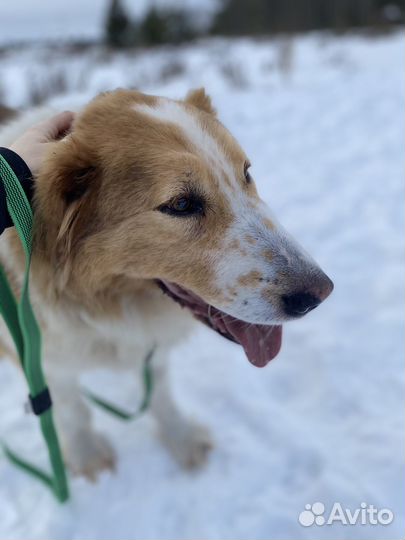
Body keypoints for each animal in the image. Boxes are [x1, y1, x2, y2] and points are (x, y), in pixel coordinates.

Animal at [0, 86, 332, 478]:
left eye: (246, 173)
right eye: (182, 204)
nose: (319, 293)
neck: (114, 309)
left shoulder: (150, 349)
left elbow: (160, 396)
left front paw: (181, 438)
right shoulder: (43, 358)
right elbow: (72, 410)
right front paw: (86, 455)